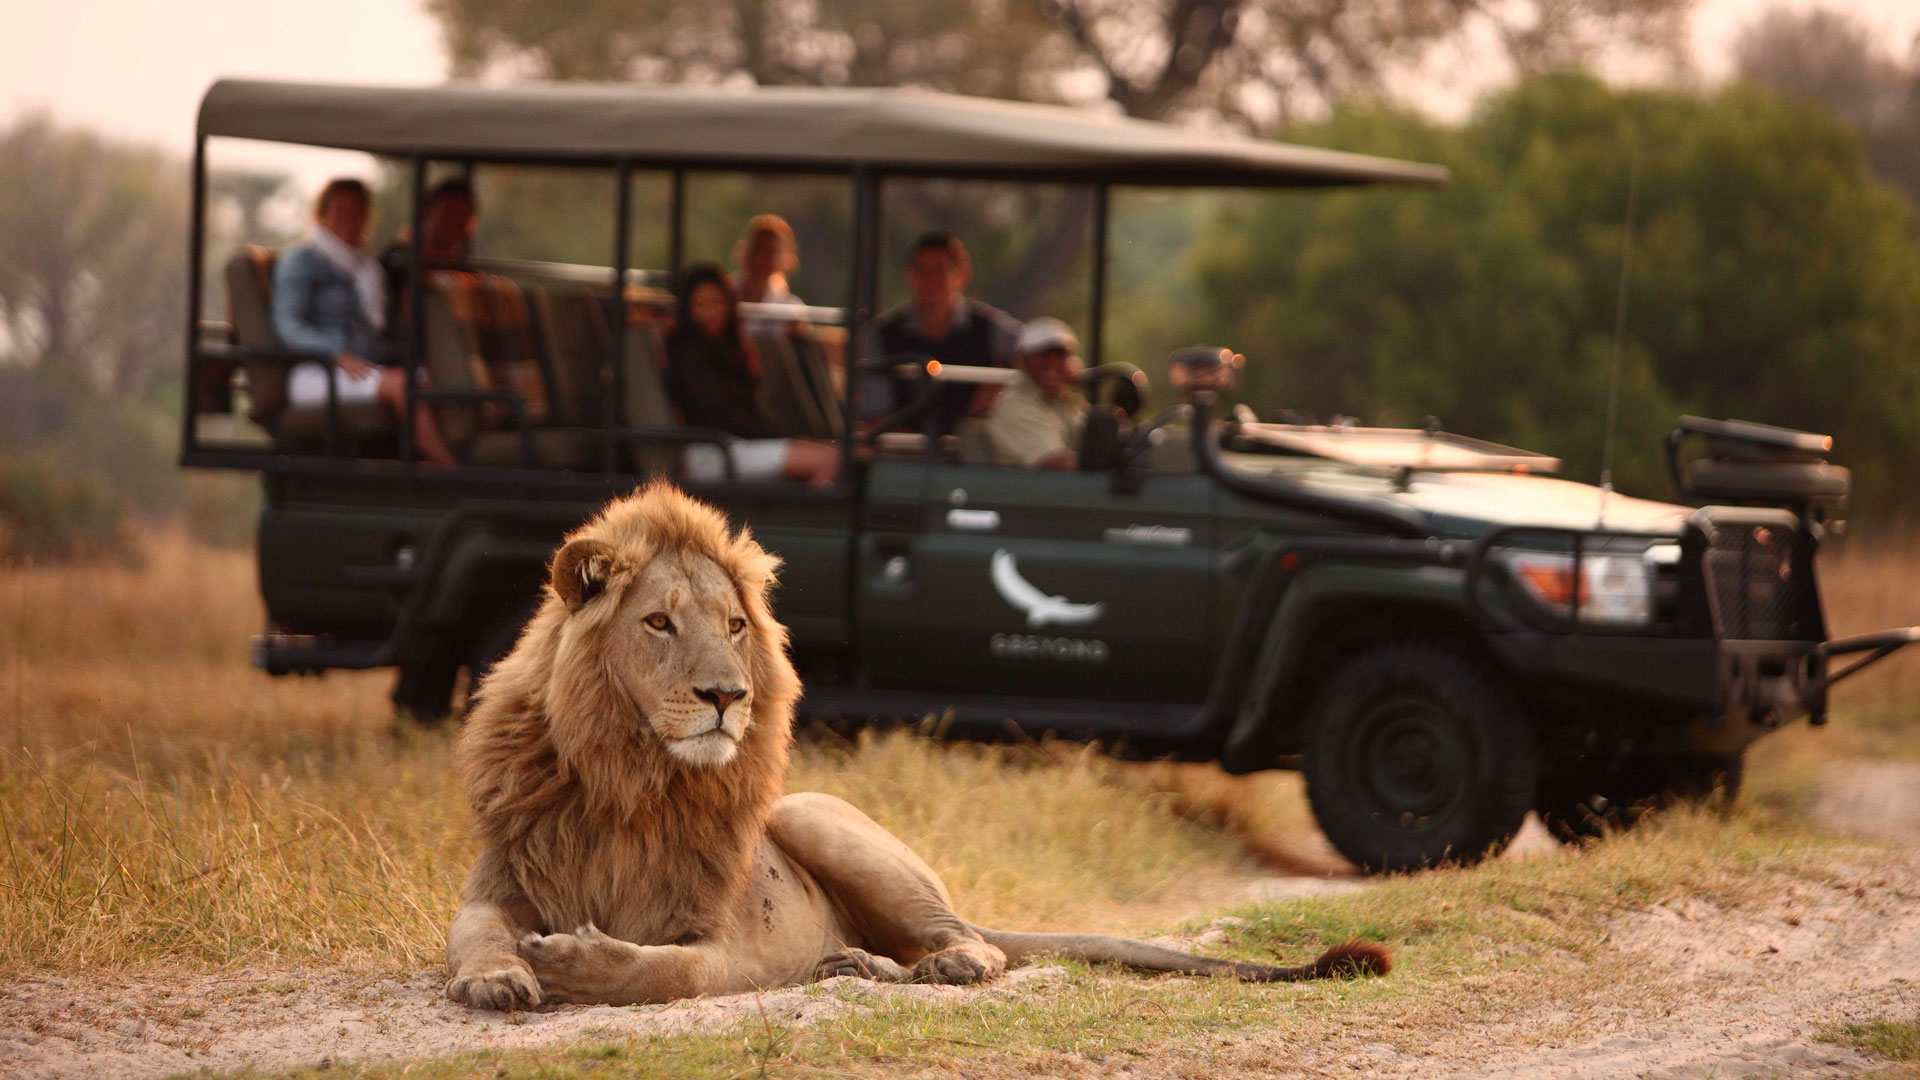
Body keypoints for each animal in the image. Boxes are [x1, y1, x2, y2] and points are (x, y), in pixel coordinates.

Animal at [444, 480, 1390, 1009]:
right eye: (658, 624)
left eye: (735, 626)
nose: (727, 697)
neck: (630, 780)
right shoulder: (500, 881)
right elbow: (474, 932)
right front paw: (496, 975)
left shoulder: (728, 947)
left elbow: (665, 972)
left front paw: (575, 964)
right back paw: (855, 964)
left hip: (823, 819)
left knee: (978, 944)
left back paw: (919, 968)